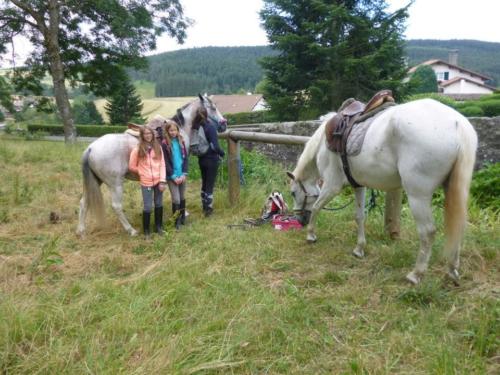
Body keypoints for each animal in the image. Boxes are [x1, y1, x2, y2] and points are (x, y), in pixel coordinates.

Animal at [76, 94, 227, 236]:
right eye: (213, 107)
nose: (224, 124)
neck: (180, 129)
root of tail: (91, 148)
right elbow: (178, 195)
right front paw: (183, 214)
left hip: (96, 180)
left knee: (84, 202)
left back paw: (81, 231)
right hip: (116, 184)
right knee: (116, 206)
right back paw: (131, 230)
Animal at [288, 100, 478, 284]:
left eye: (293, 193)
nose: (300, 220)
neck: (322, 143)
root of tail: (457, 124)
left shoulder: (332, 185)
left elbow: (316, 207)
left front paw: (311, 235)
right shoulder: (358, 185)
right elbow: (359, 216)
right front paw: (359, 249)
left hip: (418, 196)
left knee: (427, 232)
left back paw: (416, 275)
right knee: (458, 228)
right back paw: (452, 271)